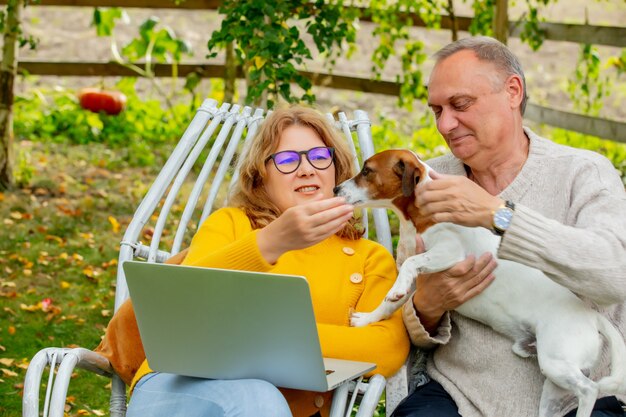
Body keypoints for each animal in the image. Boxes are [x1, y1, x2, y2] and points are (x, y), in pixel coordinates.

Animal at [334, 149, 624, 416]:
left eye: (367, 171)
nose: (336, 188)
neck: (420, 215)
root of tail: (592, 317)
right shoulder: (417, 285)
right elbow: (388, 304)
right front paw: (368, 318)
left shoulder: (450, 253)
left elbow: (411, 264)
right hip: (553, 380)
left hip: (557, 362)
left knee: (589, 390)